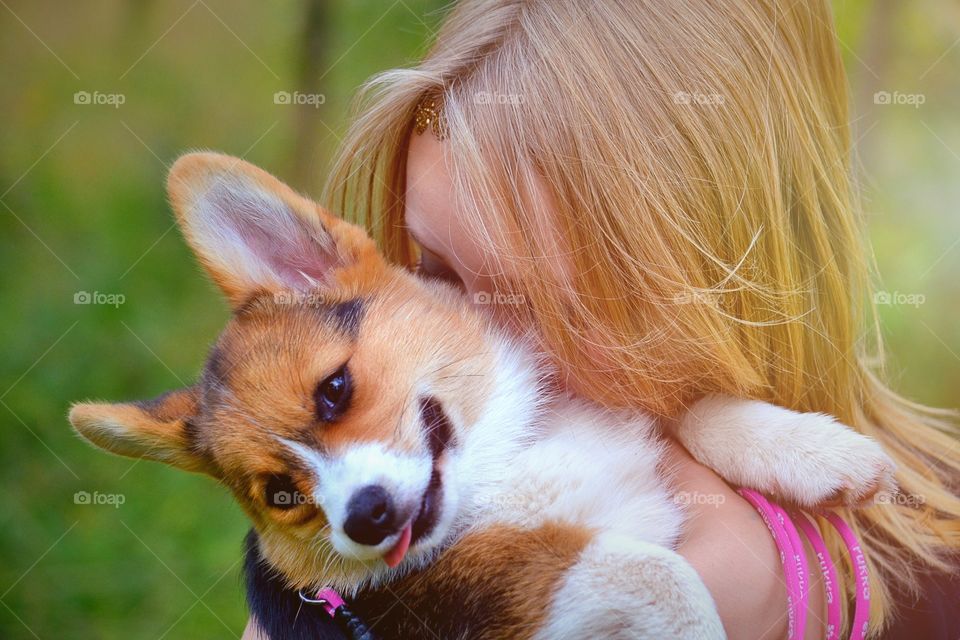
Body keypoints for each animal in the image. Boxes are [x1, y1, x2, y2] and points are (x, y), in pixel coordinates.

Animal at [71, 152, 896, 636]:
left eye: (334, 390)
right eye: (281, 496)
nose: (365, 519)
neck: (506, 461)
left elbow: (691, 410)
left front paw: (818, 450)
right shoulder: (456, 593)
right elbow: (655, 572)